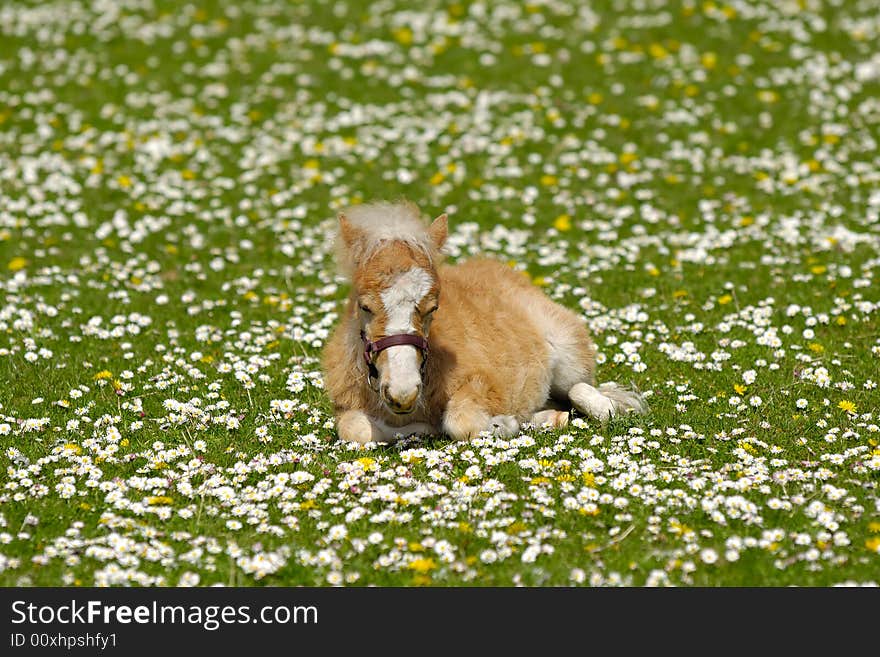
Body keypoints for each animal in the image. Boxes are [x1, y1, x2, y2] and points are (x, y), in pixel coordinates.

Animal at [324, 201, 648, 440]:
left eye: (433, 308)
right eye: (364, 306)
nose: (402, 394)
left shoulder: (483, 383)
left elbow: (460, 422)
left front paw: (502, 424)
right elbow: (356, 431)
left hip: (569, 354)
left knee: (581, 390)